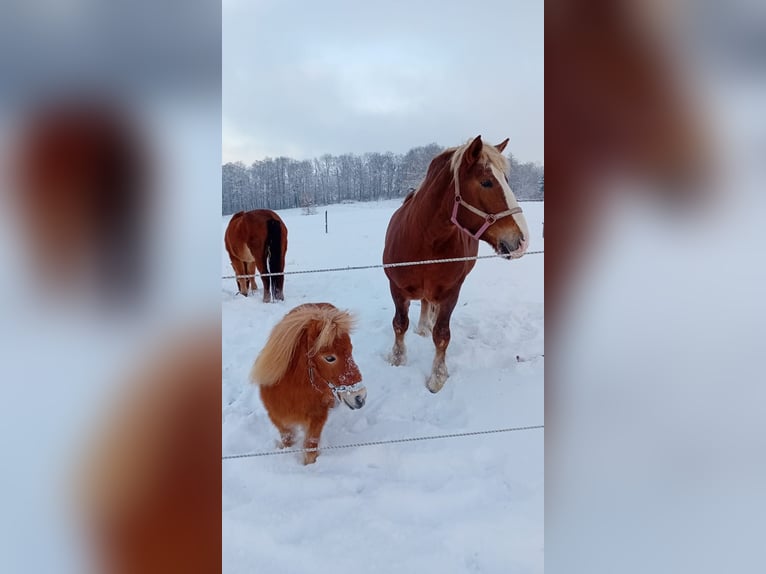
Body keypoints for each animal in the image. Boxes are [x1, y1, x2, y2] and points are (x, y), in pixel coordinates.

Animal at [250, 304, 368, 466]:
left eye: (351, 351)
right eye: (329, 358)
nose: (360, 397)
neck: (293, 390)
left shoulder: (317, 418)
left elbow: (310, 446)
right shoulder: (277, 419)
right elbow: (288, 439)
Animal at [382, 137, 528, 394]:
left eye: (507, 180)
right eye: (486, 182)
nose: (521, 240)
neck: (424, 241)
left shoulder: (451, 293)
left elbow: (442, 335)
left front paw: (437, 378)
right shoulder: (396, 288)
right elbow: (399, 324)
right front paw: (398, 360)